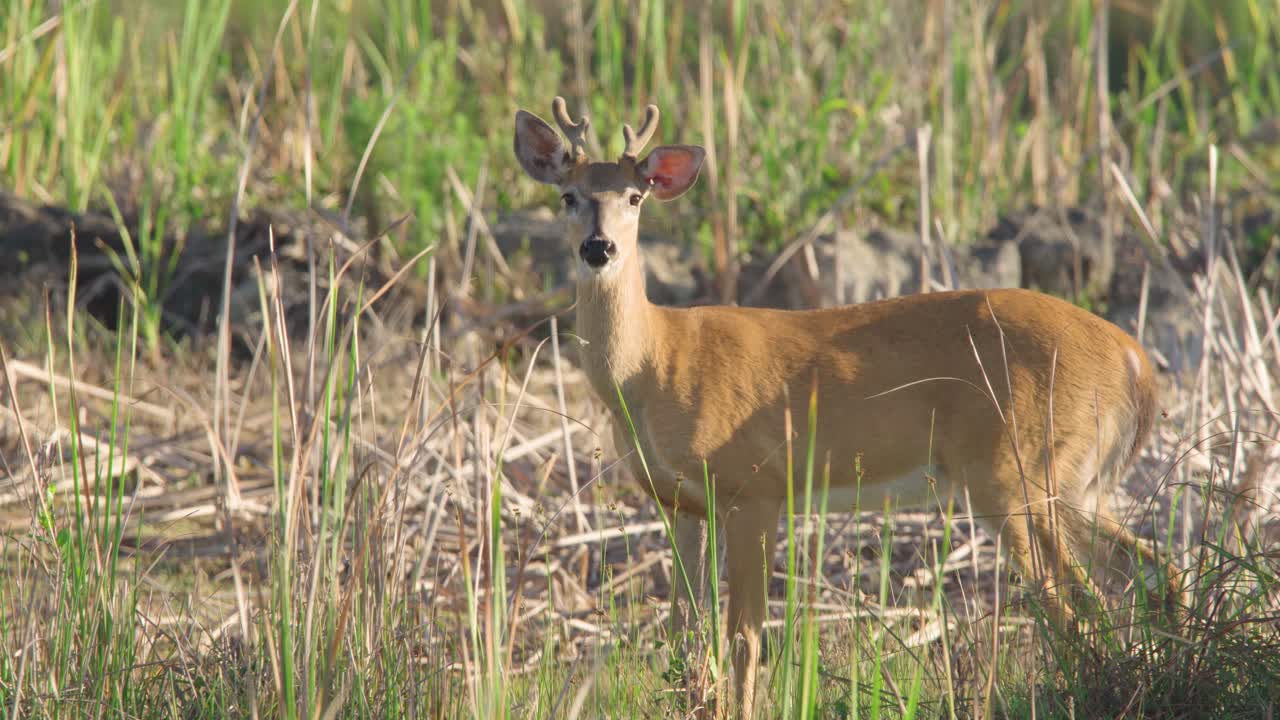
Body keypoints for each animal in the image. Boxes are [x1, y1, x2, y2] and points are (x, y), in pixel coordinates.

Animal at [513, 96, 1179, 718]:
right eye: (569, 196)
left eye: (634, 196)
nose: (598, 248)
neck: (655, 362)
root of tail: (1134, 360)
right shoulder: (682, 503)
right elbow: (686, 631)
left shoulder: (754, 487)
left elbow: (743, 637)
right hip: (1074, 481)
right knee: (1152, 571)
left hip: (1015, 471)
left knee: (1078, 601)